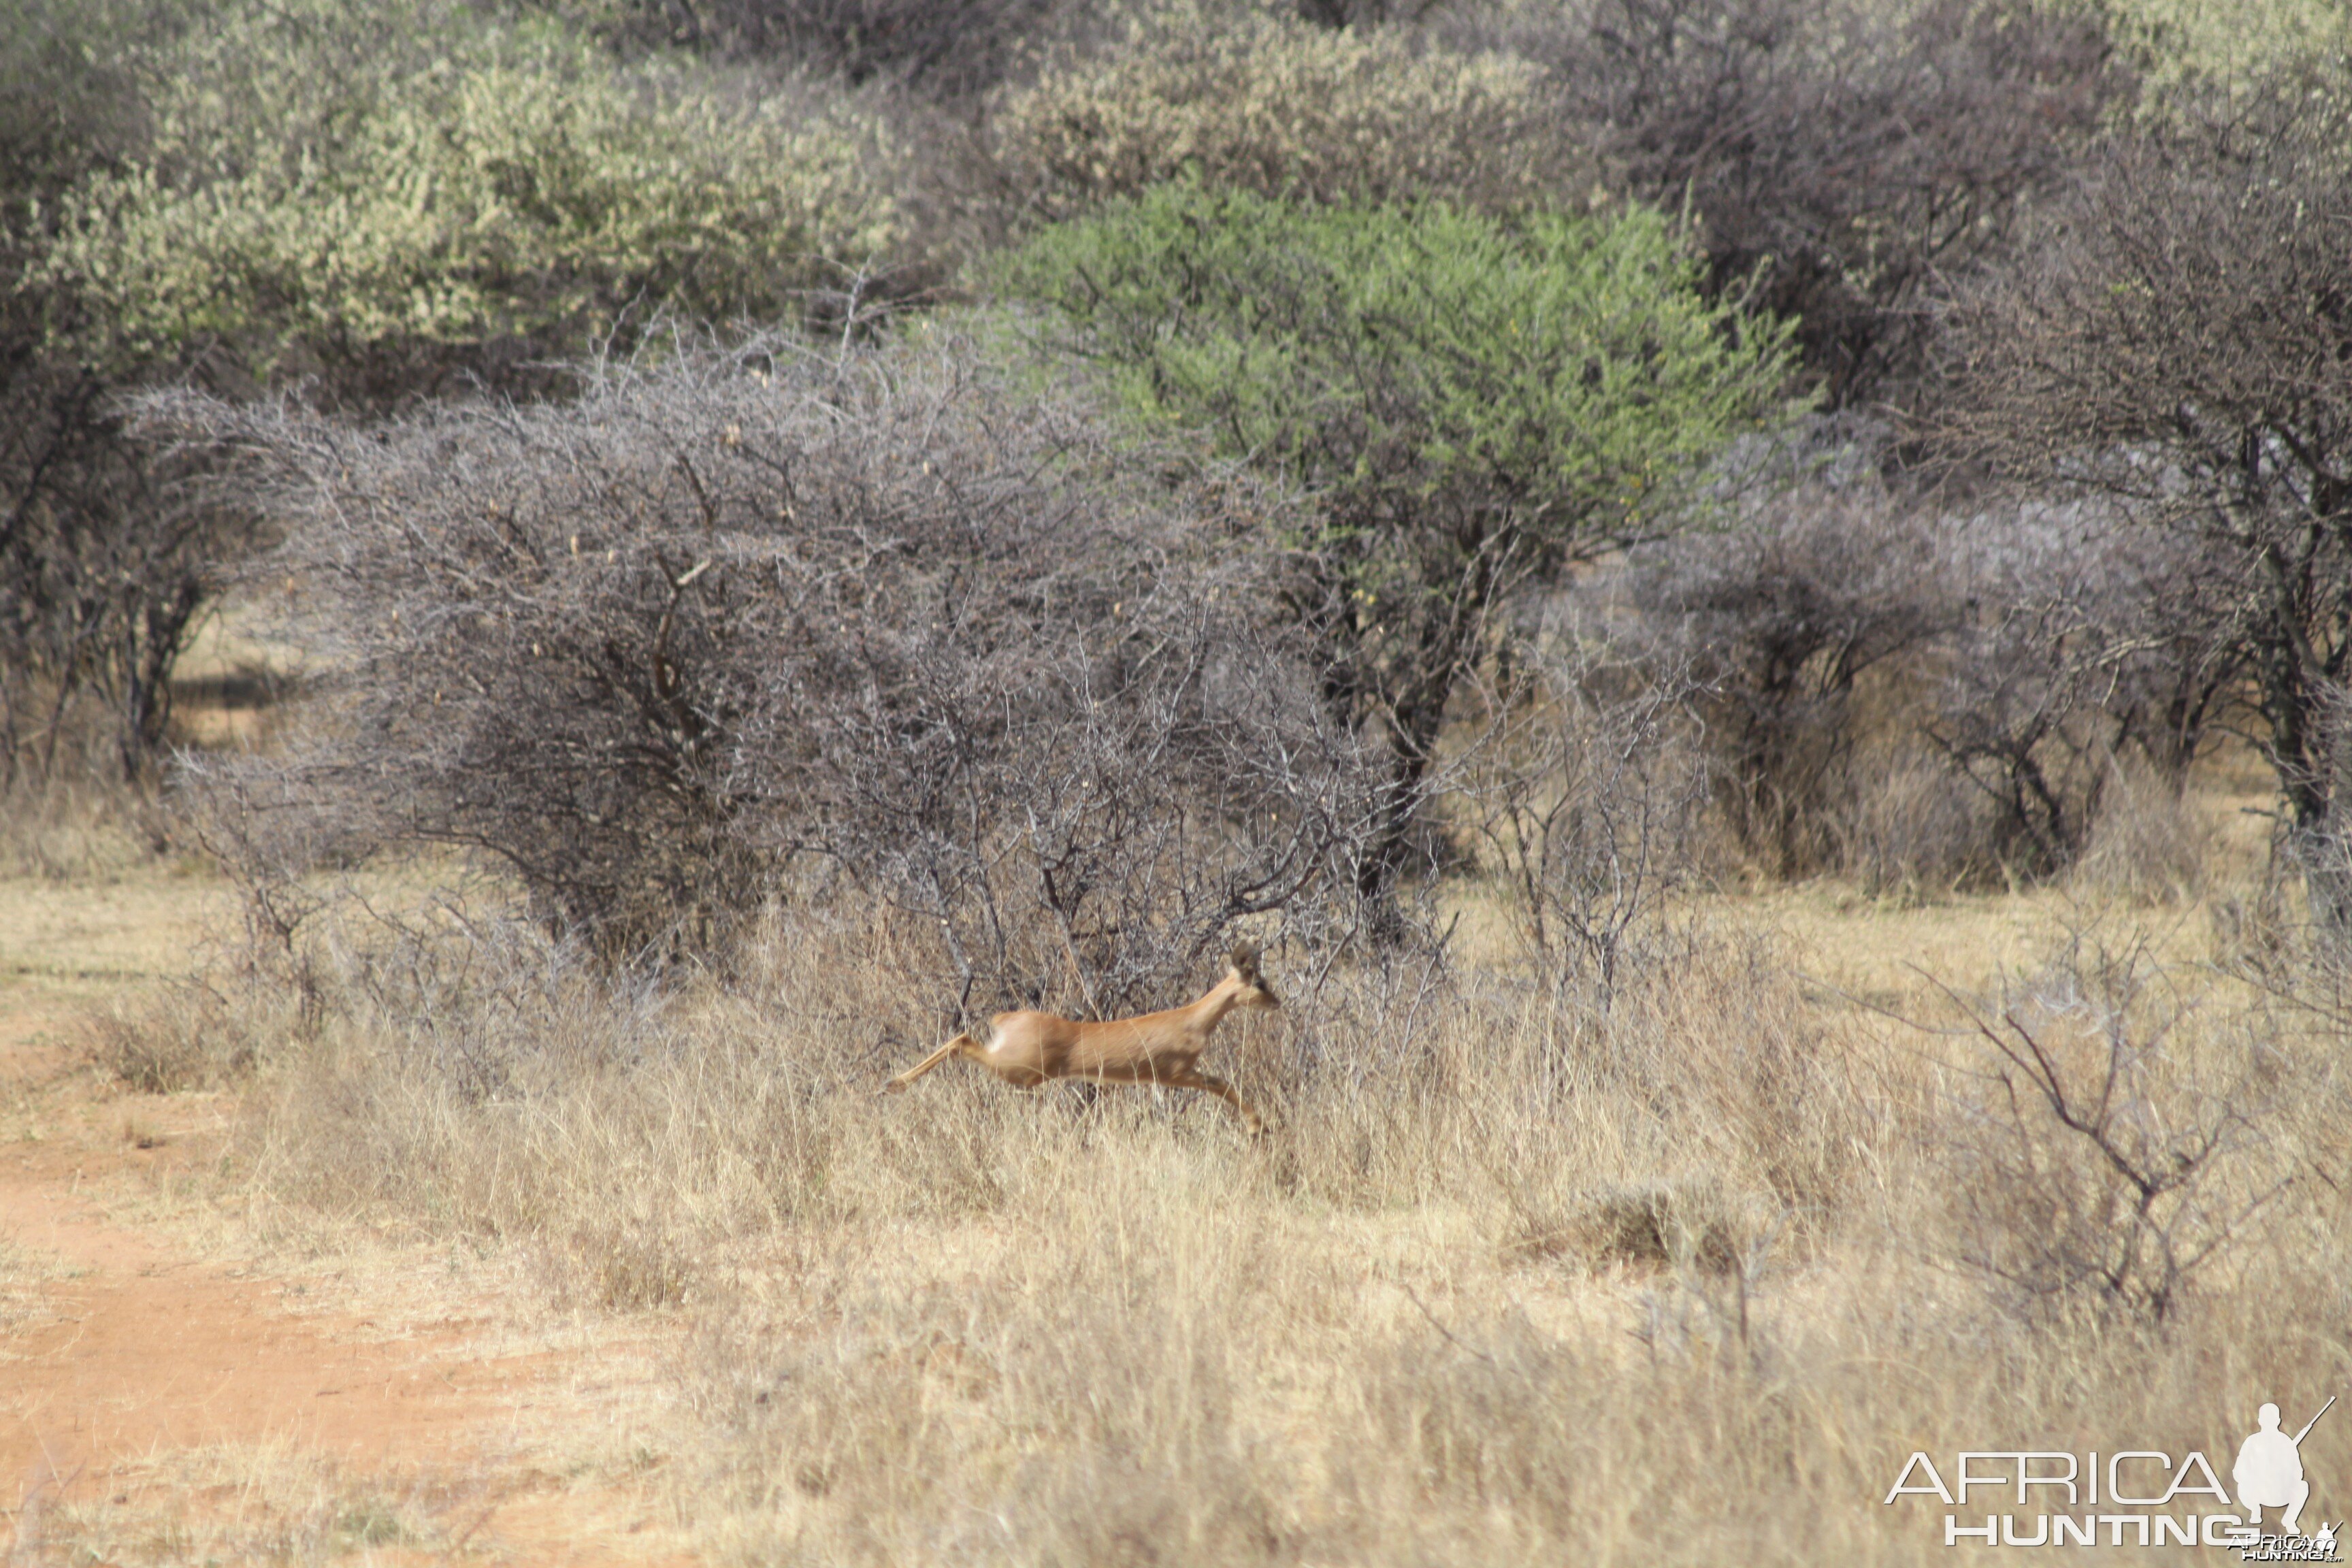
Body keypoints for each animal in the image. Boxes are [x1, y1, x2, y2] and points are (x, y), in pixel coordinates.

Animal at [884, 940, 1288, 1132]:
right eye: (1259, 982)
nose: (1278, 1002)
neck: (1191, 1020)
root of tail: (1008, 1018)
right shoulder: (1176, 1074)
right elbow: (1224, 1084)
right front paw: (1258, 1127)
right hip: (1019, 1071)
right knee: (961, 1041)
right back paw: (892, 1084)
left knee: (960, 1040)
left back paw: (891, 1084)